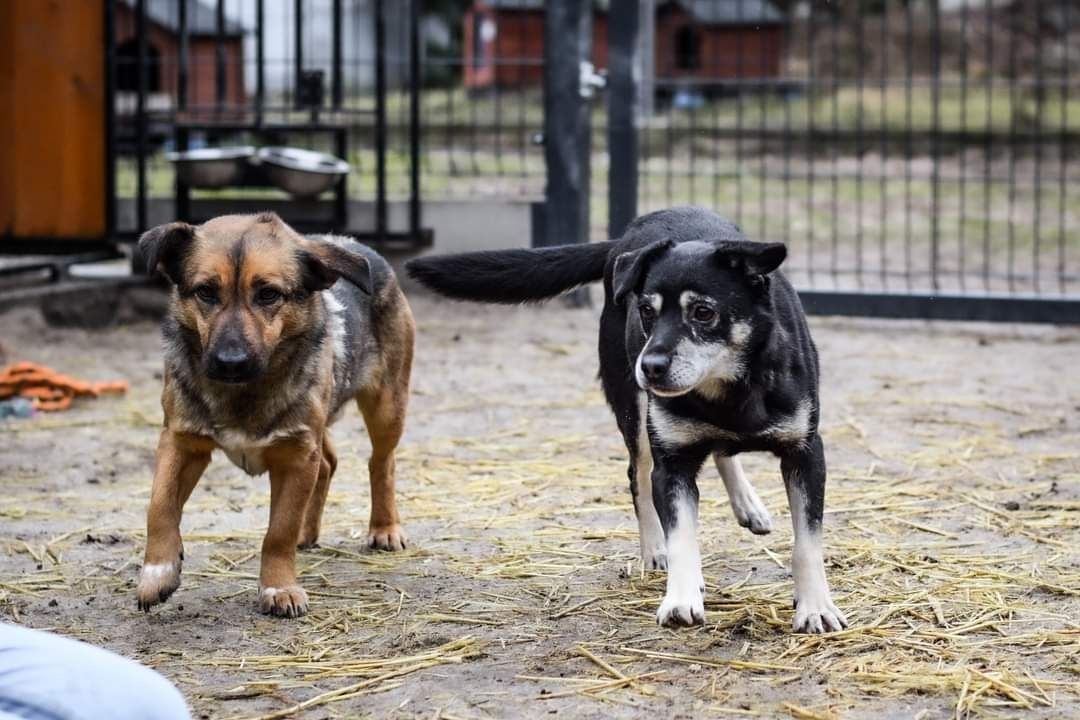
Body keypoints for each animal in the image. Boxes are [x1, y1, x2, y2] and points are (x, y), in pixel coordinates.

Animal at [135, 211, 412, 617]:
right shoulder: (181, 441)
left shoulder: (296, 455)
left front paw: (279, 587)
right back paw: (308, 532)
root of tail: (354, 245)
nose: (230, 362)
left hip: (386, 406)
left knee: (382, 463)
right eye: (206, 292)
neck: (243, 391)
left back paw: (384, 527)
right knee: (328, 463)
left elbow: (279, 531)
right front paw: (158, 573)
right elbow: (159, 505)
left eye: (268, 294)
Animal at [406, 207, 842, 630]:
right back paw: (655, 548)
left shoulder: (806, 454)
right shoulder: (672, 465)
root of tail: (623, 239)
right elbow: (681, 535)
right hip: (634, 414)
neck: (727, 390)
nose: (649, 367)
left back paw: (748, 505)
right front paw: (680, 598)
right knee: (639, 477)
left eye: (703, 312)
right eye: (646, 311)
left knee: (720, 453)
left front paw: (815, 607)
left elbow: (807, 543)